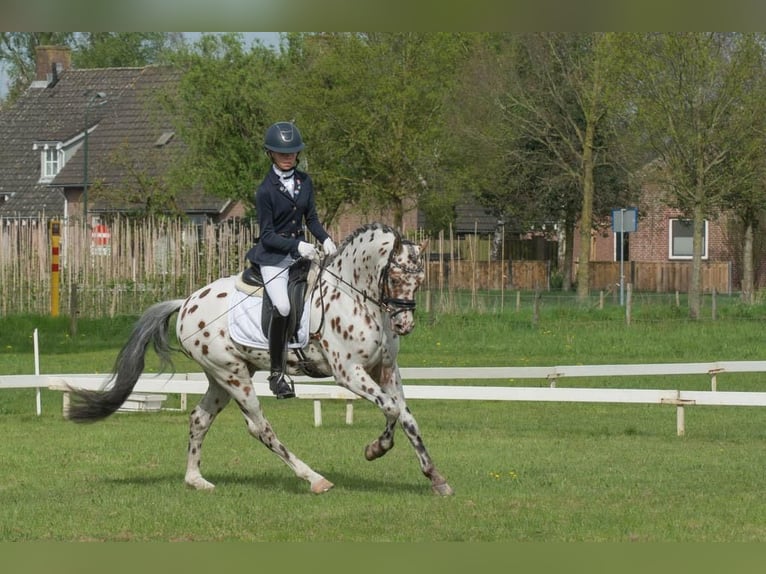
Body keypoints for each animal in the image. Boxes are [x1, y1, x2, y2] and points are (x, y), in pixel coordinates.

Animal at [66, 222, 454, 496]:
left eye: (420, 278)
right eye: (395, 275)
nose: (404, 324)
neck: (355, 296)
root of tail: (186, 302)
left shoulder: (385, 369)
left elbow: (404, 414)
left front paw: (435, 477)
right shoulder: (349, 372)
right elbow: (391, 408)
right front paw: (376, 449)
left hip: (221, 376)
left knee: (199, 419)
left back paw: (196, 480)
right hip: (234, 375)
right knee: (260, 427)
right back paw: (313, 478)